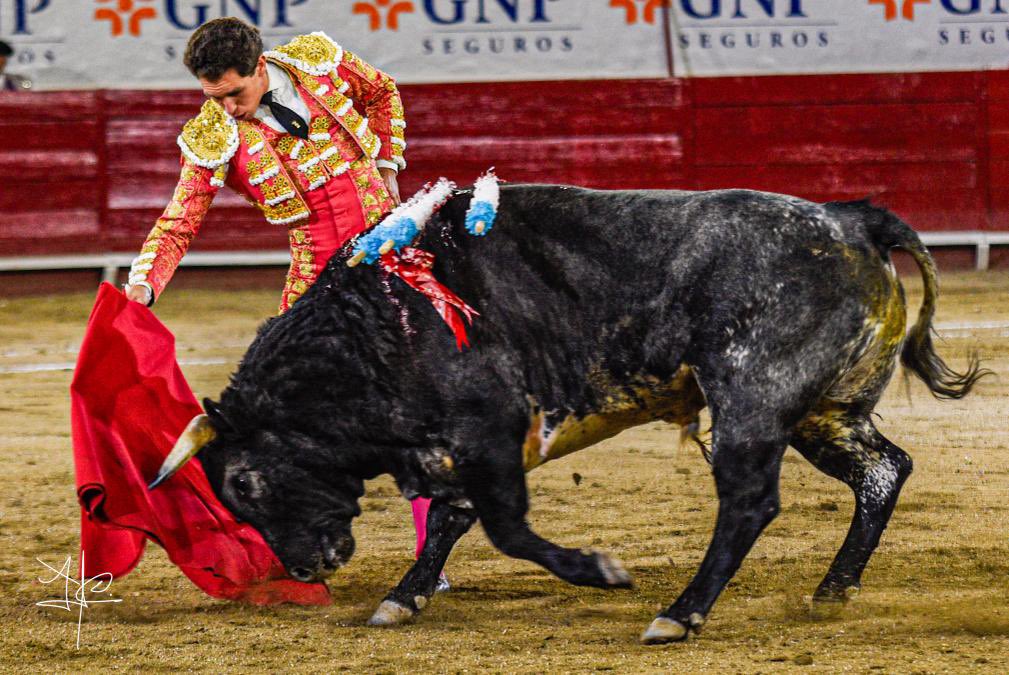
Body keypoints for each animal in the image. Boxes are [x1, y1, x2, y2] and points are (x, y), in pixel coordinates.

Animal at [146, 185, 980, 641]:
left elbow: (505, 527)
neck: (376, 327)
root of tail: (848, 221)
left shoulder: (487, 430)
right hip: (823, 411)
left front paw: (599, 571)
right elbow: (449, 519)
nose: (306, 566)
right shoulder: (456, 448)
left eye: (245, 483)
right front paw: (400, 598)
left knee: (749, 502)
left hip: (752, 398)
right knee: (882, 469)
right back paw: (832, 589)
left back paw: (678, 614)